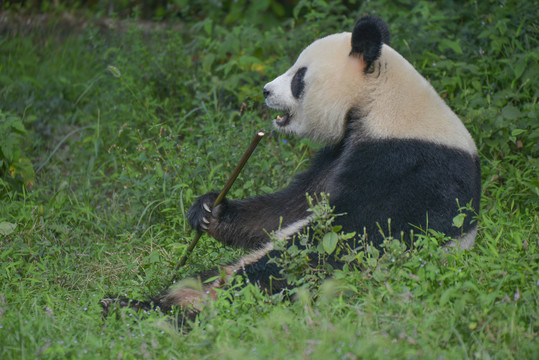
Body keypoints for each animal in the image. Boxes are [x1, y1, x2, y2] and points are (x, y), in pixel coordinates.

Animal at [101, 15, 480, 316]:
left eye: (299, 77)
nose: (266, 90)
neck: (381, 103)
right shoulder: (338, 153)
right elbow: (291, 206)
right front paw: (210, 210)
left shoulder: (408, 165)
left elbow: (354, 231)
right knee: (200, 278)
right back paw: (132, 305)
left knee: (273, 277)